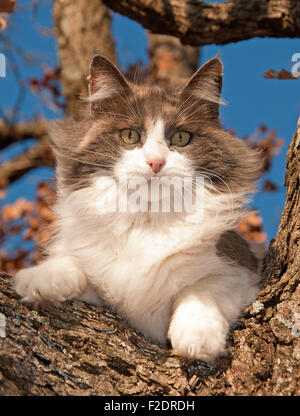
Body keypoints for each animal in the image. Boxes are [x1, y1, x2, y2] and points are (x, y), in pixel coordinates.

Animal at [14, 54, 262, 360]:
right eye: (130, 136)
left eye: (181, 138)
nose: (155, 162)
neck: (147, 220)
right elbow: (73, 264)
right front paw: (37, 279)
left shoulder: (241, 268)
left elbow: (203, 289)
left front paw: (197, 339)